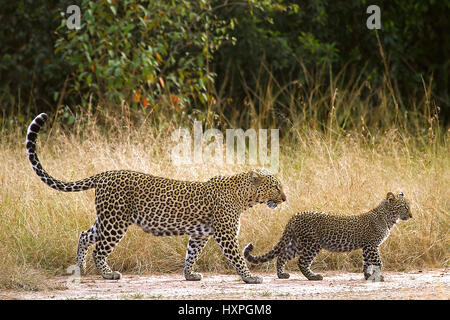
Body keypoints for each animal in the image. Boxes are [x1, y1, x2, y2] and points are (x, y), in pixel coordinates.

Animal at [25, 114, 284, 284]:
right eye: (276, 186)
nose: (284, 197)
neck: (244, 197)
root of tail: (105, 174)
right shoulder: (226, 234)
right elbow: (238, 258)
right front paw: (251, 277)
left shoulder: (200, 234)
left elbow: (191, 254)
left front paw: (189, 275)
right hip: (116, 222)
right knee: (99, 249)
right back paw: (108, 274)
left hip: (107, 218)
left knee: (84, 235)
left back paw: (81, 267)